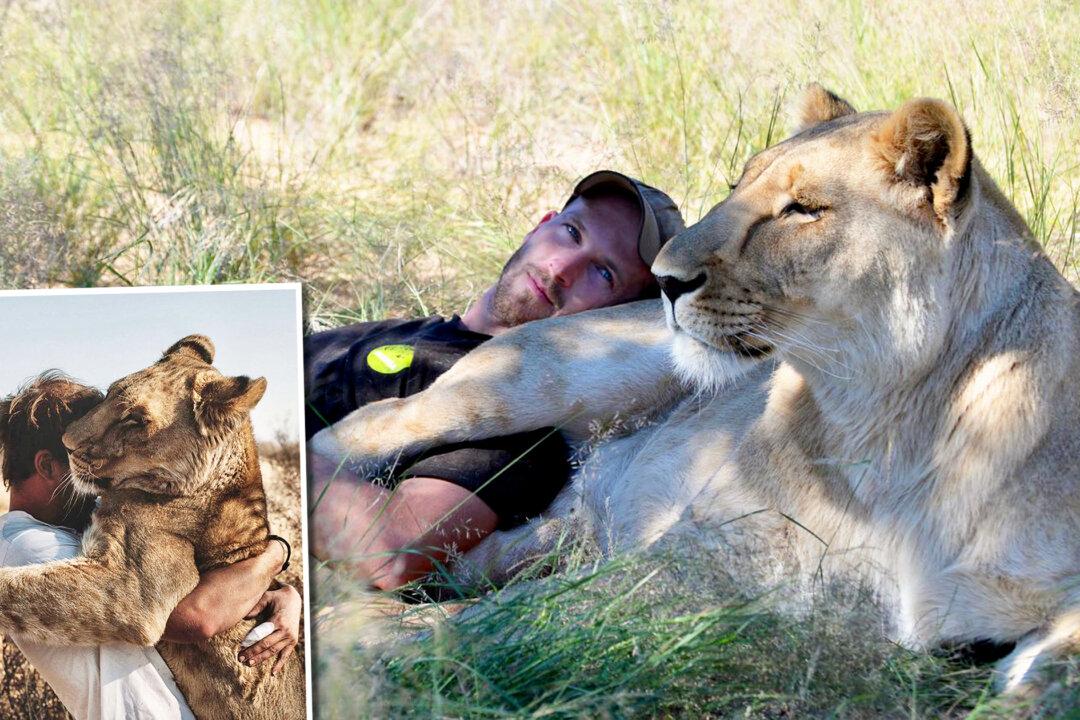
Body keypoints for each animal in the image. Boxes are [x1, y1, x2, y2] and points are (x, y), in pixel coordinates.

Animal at [310, 85, 1080, 694]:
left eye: (802, 210)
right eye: (739, 185)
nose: (662, 278)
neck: (888, 415)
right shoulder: (702, 551)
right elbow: (510, 619)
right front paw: (355, 636)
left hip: (554, 532)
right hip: (531, 378)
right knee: (368, 429)